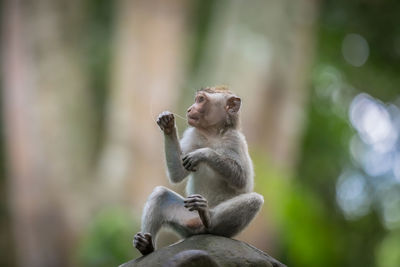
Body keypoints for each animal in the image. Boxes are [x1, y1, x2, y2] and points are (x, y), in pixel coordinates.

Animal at [134, 87, 264, 256]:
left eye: (201, 100)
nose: (190, 109)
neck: (212, 133)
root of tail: (196, 229)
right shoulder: (193, 134)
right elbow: (178, 173)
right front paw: (167, 124)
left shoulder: (235, 140)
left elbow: (242, 181)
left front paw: (203, 154)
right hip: (185, 218)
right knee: (160, 195)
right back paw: (146, 246)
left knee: (255, 199)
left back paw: (208, 218)